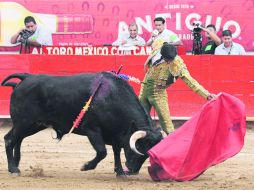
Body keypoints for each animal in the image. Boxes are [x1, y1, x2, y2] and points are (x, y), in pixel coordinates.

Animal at [0, 71, 164, 177]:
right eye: (139, 147)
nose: (133, 170)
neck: (112, 98)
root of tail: (27, 77)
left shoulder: (116, 134)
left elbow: (116, 152)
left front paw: (120, 172)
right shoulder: (92, 130)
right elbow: (102, 152)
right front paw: (86, 166)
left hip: (33, 125)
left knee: (17, 139)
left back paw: (16, 164)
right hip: (24, 122)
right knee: (9, 139)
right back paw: (13, 169)